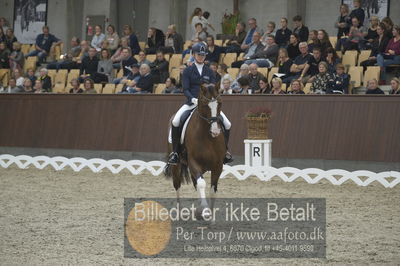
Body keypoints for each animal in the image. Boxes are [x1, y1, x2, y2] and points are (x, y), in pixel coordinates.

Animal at [163, 83, 225, 218]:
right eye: (204, 104)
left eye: (220, 103)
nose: (215, 131)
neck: (208, 137)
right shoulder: (194, 162)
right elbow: (201, 183)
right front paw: (206, 211)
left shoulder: (218, 165)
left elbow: (212, 190)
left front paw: (210, 216)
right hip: (177, 165)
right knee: (177, 184)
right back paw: (180, 212)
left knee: (194, 183)